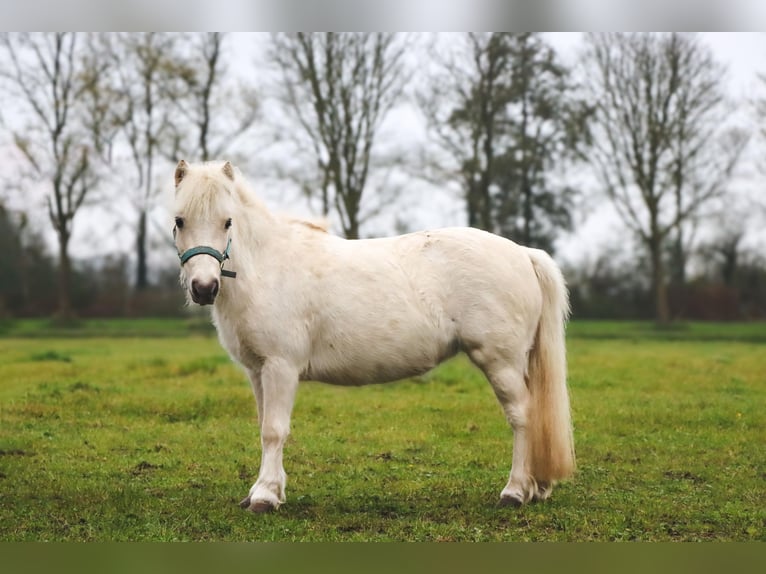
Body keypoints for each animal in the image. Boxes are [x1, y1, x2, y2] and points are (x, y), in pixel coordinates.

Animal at [171, 159, 572, 512]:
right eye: (179, 220)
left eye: (228, 221)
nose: (204, 288)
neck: (266, 267)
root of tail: (523, 253)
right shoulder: (258, 370)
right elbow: (263, 426)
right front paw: (264, 490)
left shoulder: (281, 367)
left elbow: (274, 430)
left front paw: (265, 497)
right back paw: (536, 487)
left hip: (501, 362)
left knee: (522, 416)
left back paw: (515, 492)